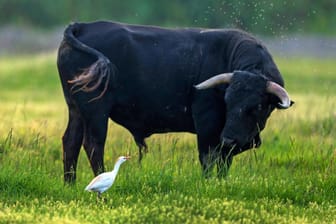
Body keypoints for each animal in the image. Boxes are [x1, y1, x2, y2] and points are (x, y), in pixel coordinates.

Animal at [56, 21, 292, 183]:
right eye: (227, 101)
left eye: (258, 106)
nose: (230, 139)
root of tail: (83, 26)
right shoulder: (207, 124)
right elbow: (208, 157)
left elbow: (224, 161)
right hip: (96, 111)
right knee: (93, 144)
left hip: (76, 109)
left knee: (71, 141)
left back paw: (70, 184)